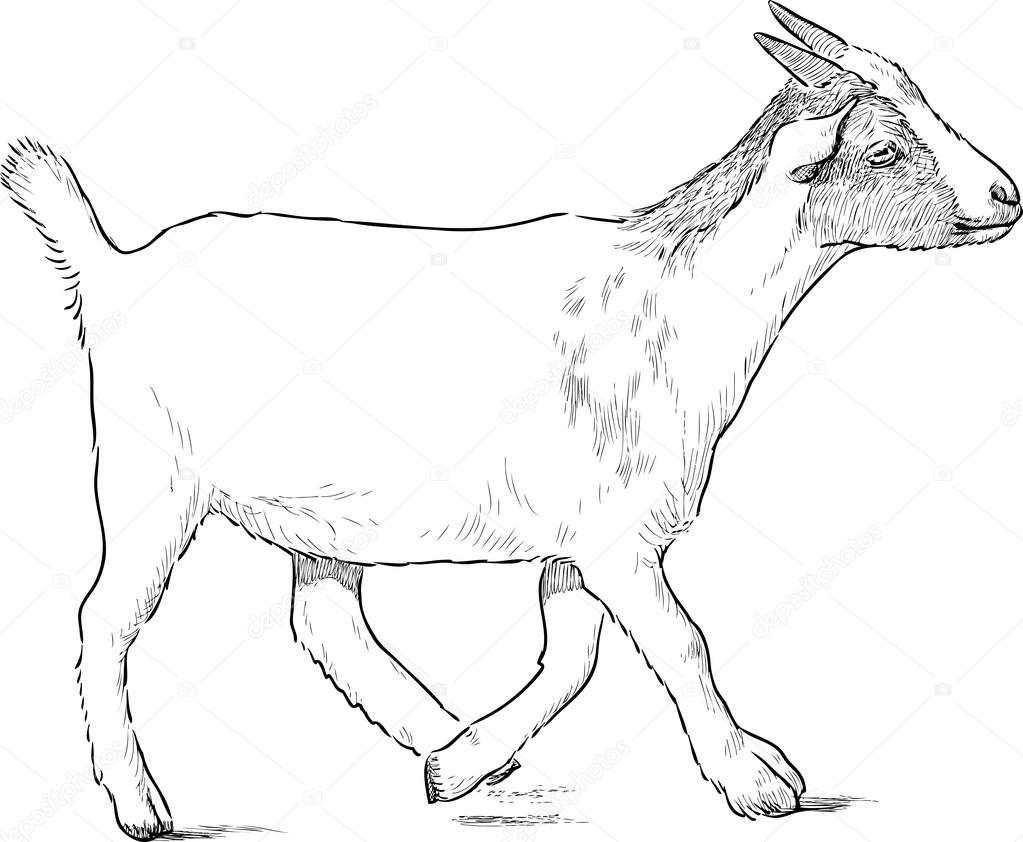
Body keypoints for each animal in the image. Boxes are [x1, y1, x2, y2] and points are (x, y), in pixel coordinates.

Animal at [3, 3, 1018, 839]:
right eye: (882, 151)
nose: (1005, 195)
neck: (683, 297)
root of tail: (117, 263)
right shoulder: (617, 539)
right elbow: (677, 642)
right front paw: (752, 781)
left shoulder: (584, 538)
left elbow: (574, 653)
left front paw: (461, 765)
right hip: (153, 478)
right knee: (107, 618)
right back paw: (141, 805)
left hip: (320, 509)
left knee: (324, 618)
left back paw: (440, 738)